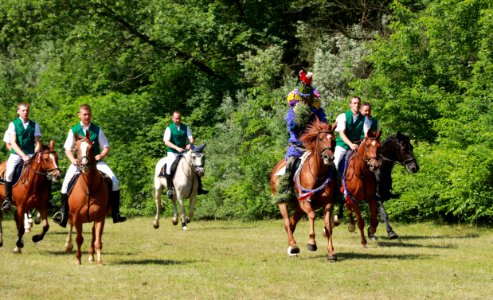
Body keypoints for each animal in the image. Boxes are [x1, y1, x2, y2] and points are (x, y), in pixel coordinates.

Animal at [63, 132, 111, 264]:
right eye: (76, 149)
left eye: (91, 148)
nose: (84, 164)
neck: (88, 188)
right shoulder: (77, 217)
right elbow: (79, 238)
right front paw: (78, 259)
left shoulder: (100, 218)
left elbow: (97, 240)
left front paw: (99, 260)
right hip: (71, 215)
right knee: (70, 226)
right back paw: (68, 245)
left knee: (94, 235)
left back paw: (91, 256)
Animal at [270, 118, 338, 262]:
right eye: (320, 138)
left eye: (334, 139)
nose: (329, 157)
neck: (318, 174)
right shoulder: (305, 201)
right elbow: (312, 215)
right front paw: (311, 243)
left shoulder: (327, 204)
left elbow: (328, 226)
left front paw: (331, 252)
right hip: (282, 201)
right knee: (287, 222)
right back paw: (293, 246)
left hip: (298, 207)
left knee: (291, 223)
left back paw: (292, 248)